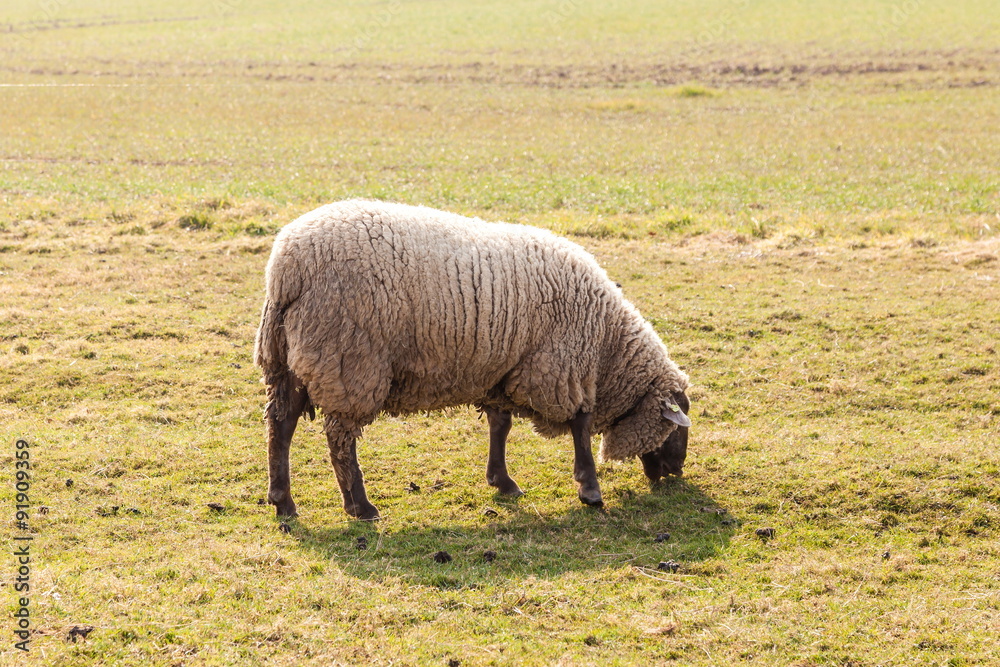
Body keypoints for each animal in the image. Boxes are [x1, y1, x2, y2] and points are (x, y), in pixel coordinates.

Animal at [254, 200, 691, 520]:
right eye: (677, 428)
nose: (676, 472)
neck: (606, 346)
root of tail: (285, 269)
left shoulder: (501, 370)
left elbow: (501, 425)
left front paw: (502, 481)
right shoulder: (559, 367)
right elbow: (580, 427)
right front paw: (590, 488)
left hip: (287, 357)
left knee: (281, 423)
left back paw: (283, 501)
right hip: (349, 358)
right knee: (340, 438)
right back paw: (360, 506)